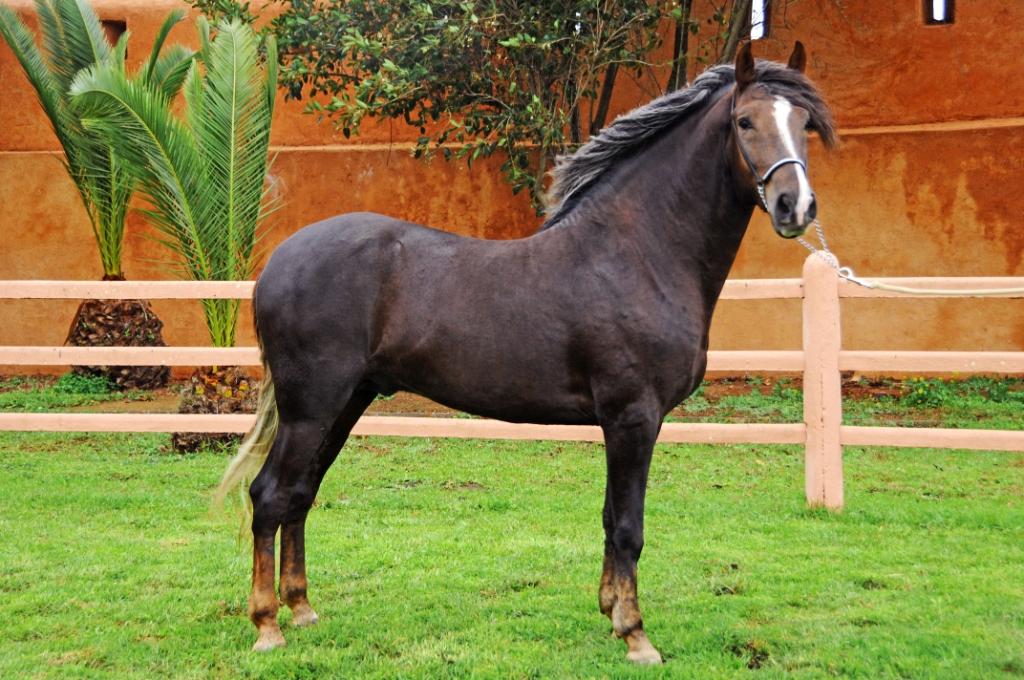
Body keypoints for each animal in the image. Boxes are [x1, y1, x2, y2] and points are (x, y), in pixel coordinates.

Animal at [217, 40, 836, 664]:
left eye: (804, 123)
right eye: (745, 122)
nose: (795, 206)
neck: (636, 255)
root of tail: (278, 263)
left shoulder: (621, 424)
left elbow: (609, 517)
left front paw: (610, 611)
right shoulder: (633, 417)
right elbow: (628, 526)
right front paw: (636, 634)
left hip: (345, 404)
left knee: (300, 494)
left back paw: (302, 608)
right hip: (311, 409)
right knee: (269, 496)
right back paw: (267, 625)